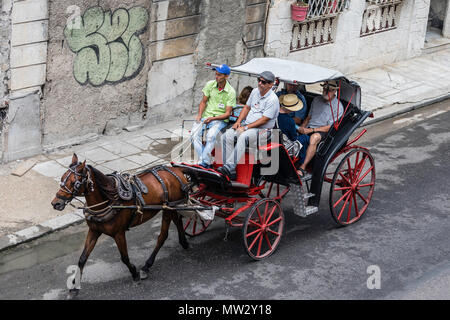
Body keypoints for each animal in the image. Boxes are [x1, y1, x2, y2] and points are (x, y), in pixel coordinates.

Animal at [50, 154, 190, 296]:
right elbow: (82, 258)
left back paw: (147, 265)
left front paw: (134, 273)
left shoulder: (119, 233)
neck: (108, 200)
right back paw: (183, 242)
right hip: (173, 207)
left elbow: (124, 257)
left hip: (168, 209)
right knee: (178, 221)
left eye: (74, 183)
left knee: (162, 236)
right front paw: (74, 286)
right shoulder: (94, 230)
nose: (56, 203)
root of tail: (176, 170)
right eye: (62, 179)